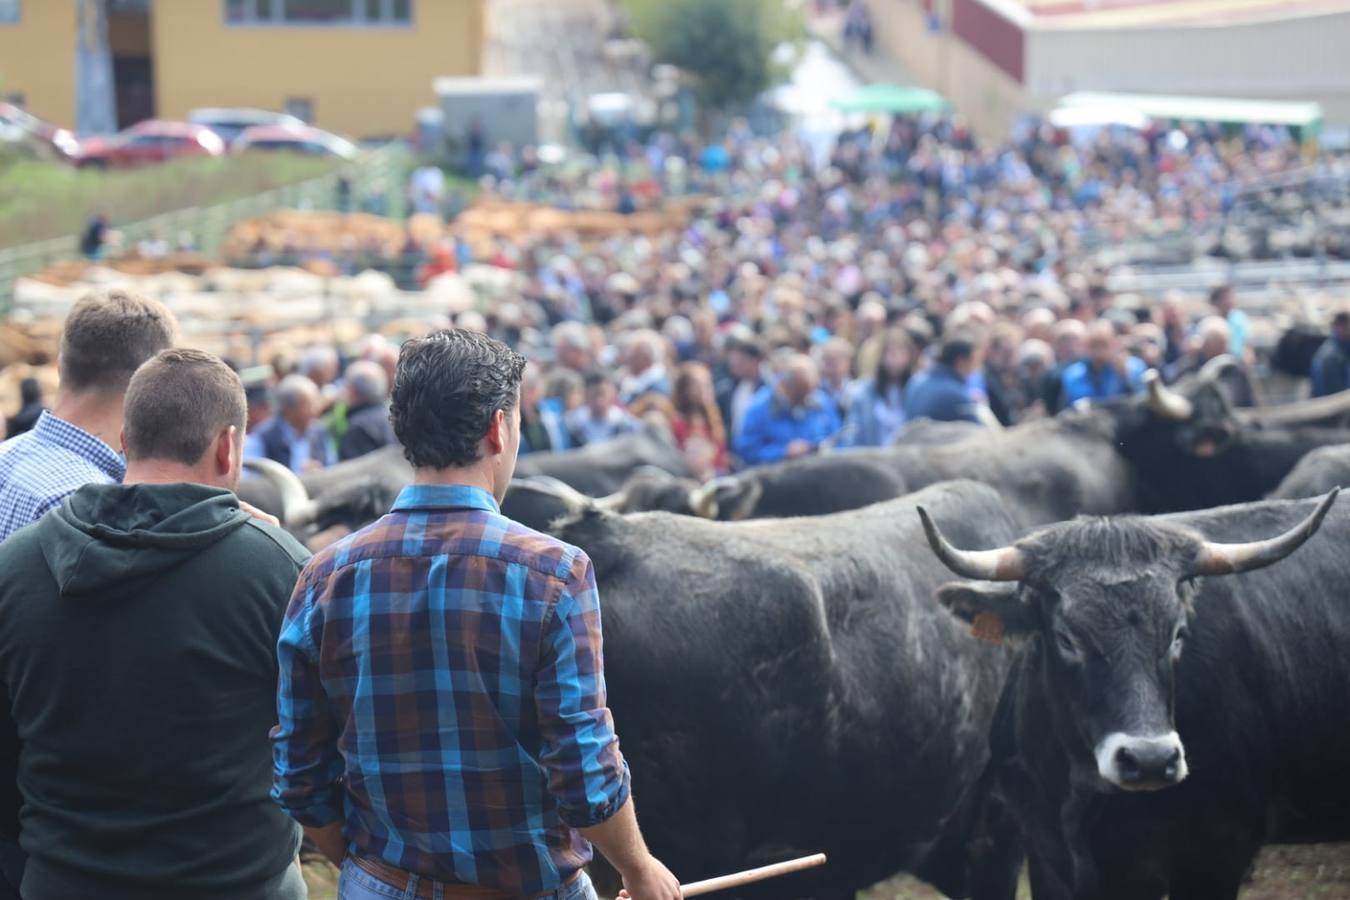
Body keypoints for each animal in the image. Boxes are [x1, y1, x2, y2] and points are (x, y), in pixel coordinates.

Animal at [923, 493, 1344, 900]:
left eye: (1178, 634)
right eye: (1066, 638)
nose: (1151, 760)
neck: (1078, 792)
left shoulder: (1216, 854)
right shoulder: (1047, 859)